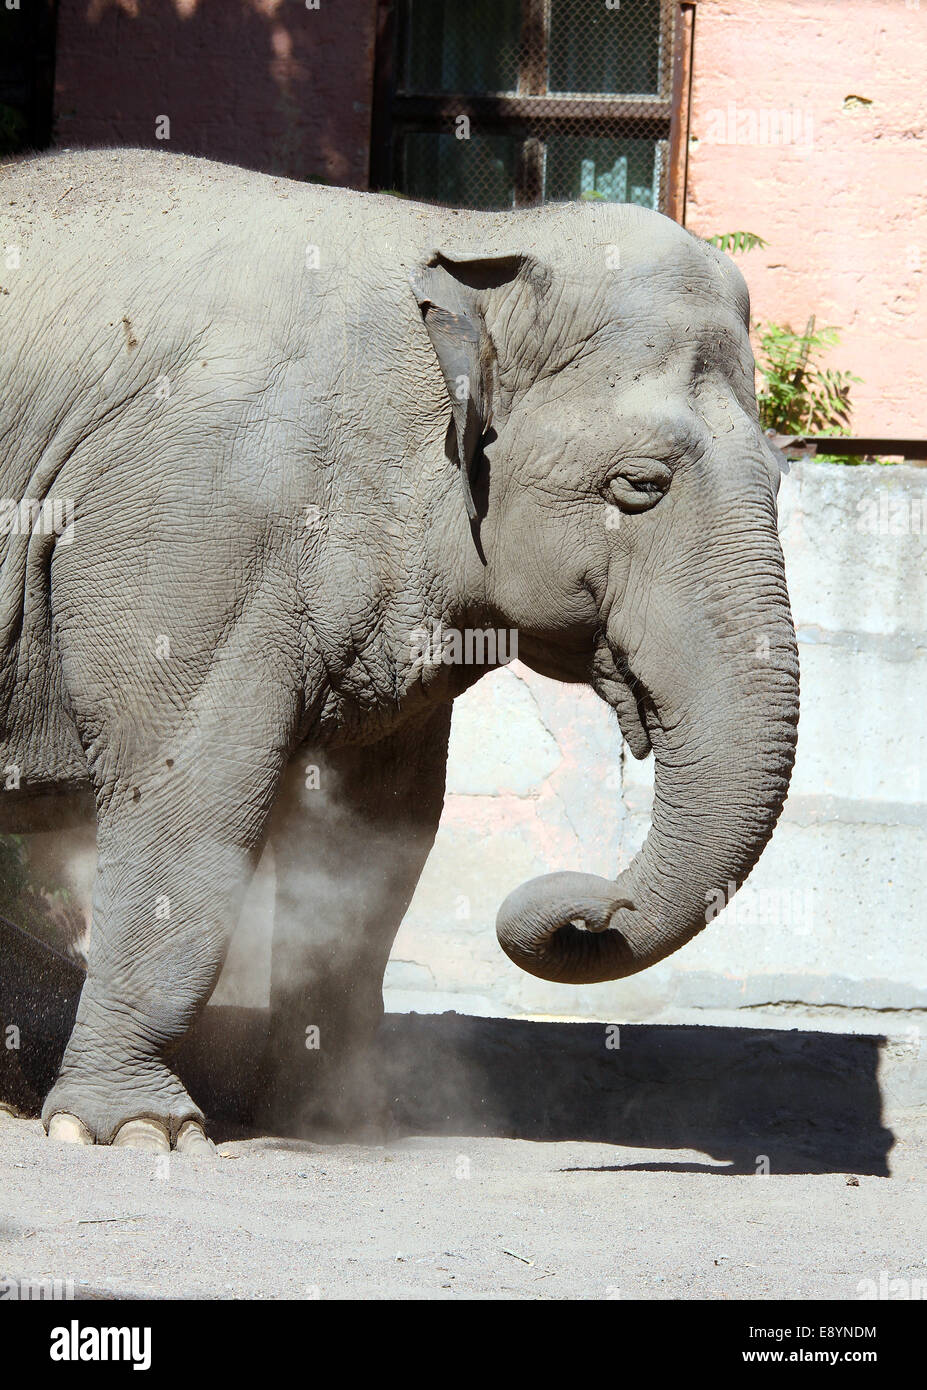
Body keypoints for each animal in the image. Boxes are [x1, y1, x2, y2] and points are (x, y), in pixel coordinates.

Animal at [0, 149, 800, 1150]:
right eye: (639, 485)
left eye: (783, 478)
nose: (593, 908)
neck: (465, 239)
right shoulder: (193, 519)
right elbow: (193, 786)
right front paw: (136, 1131)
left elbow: (385, 824)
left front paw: (338, 1123)